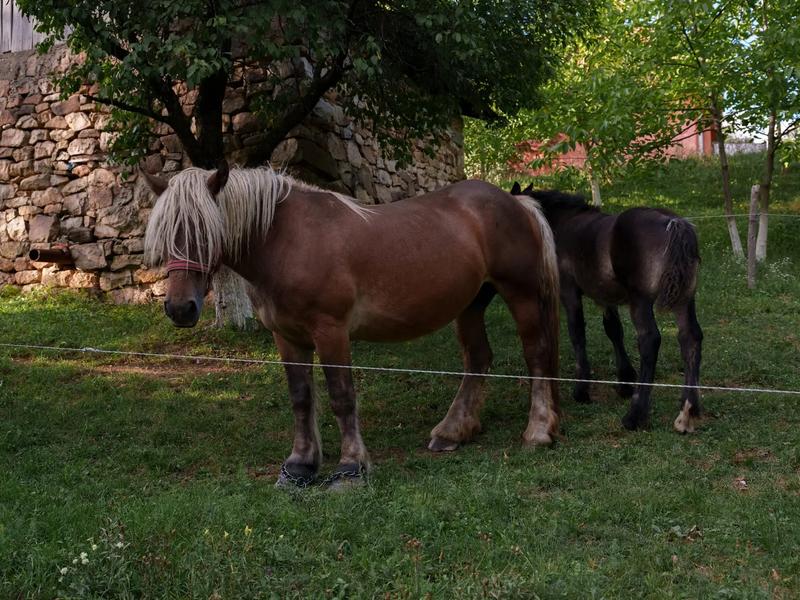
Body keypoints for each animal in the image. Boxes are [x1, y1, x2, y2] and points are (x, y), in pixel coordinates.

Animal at [142, 162, 561, 487]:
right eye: (165, 233)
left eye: (205, 230)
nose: (180, 308)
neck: (288, 241)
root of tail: (517, 202)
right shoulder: (287, 336)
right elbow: (301, 398)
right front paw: (300, 465)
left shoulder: (331, 332)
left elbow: (341, 397)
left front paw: (350, 468)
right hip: (471, 304)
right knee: (478, 360)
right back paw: (452, 431)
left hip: (521, 295)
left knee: (536, 354)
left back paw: (538, 431)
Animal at [510, 183, 703, 433]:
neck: (564, 223)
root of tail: (674, 223)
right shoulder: (607, 297)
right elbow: (614, 330)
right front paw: (625, 381)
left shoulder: (570, 292)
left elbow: (577, 333)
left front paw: (582, 389)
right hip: (684, 300)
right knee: (690, 337)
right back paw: (687, 411)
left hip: (641, 301)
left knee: (650, 340)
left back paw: (635, 415)